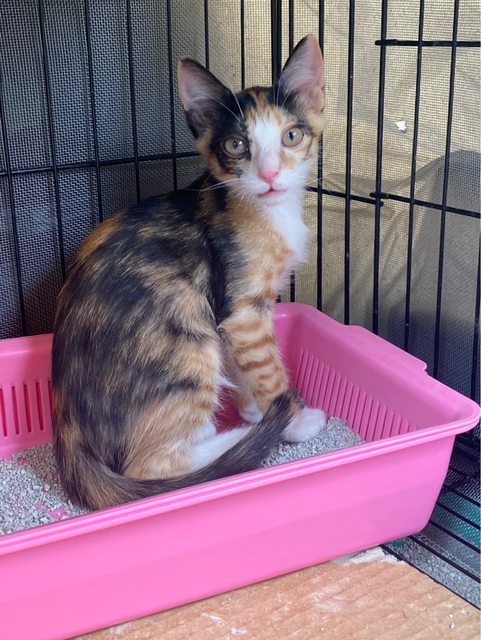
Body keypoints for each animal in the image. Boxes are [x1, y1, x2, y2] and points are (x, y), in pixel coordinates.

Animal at [52, 35, 327, 510]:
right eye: (236, 146)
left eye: (292, 136)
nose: (270, 174)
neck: (267, 211)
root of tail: (67, 428)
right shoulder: (244, 309)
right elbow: (269, 370)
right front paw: (290, 419)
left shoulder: (230, 314)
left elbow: (244, 363)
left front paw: (253, 406)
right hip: (185, 336)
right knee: (150, 467)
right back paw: (237, 440)